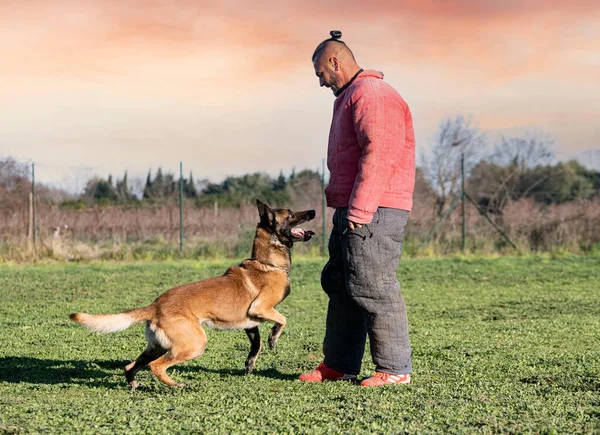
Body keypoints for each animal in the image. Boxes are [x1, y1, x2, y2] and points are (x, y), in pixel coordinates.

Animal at [68, 201, 316, 388]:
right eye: (291, 214)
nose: (313, 211)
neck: (268, 263)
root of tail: (155, 305)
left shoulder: (250, 322)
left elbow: (257, 344)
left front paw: (250, 363)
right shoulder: (261, 308)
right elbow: (282, 319)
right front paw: (274, 338)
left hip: (156, 346)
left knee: (131, 366)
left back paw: (135, 385)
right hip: (194, 344)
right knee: (156, 366)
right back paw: (176, 385)